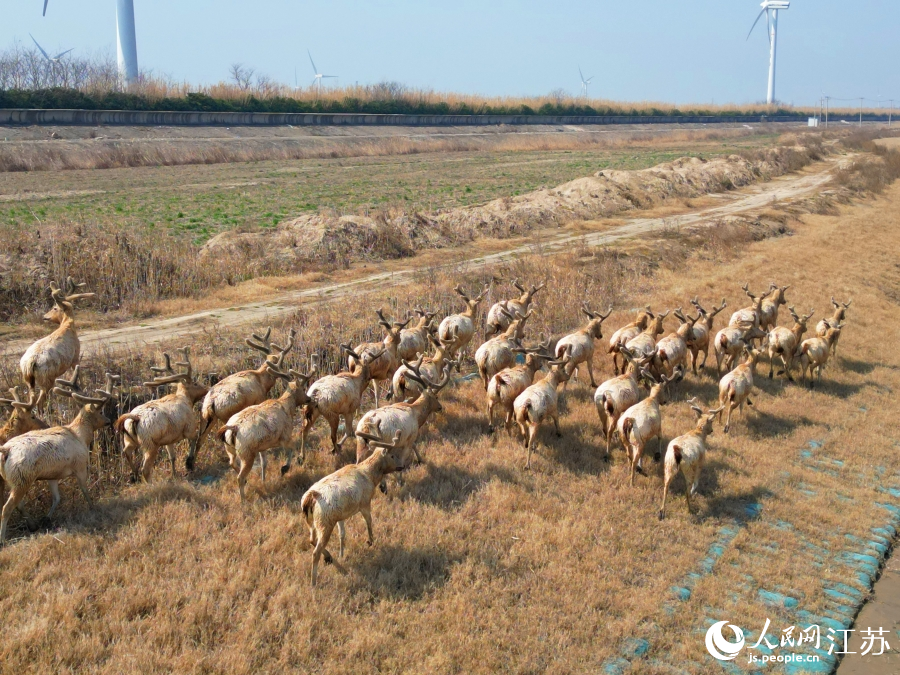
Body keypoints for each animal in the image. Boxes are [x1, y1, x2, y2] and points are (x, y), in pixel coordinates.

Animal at [0, 368, 118, 548]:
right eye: (101, 411)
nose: (108, 421)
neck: (80, 436)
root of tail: (6, 450)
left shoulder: (53, 475)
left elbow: (56, 498)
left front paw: (47, 518)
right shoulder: (80, 465)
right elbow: (84, 489)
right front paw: (93, 508)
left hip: (13, 479)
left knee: (17, 503)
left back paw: (32, 524)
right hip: (22, 476)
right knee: (6, 507)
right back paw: (3, 538)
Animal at [18, 276, 95, 412]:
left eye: (54, 308)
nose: (45, 316)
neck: (67, 327)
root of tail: (29, 363)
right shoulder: (75, 356)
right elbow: (78, 375)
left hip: (28, 379)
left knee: (32, 399)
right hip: (46, 377)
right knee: (39, 401)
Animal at [114, 346, 207, 484]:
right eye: (195, 383)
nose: (207, 388)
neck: (187, 400)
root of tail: (134, 418)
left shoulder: (169, 438)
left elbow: (172, 457)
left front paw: (174, 475)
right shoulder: (189, 427)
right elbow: (194, 439)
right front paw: (189, 463)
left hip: (129, 439)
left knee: (126, 453)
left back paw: (134, 476)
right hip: (150, 443)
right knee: (145, 469)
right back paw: (150, 484)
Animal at [188, 328, 298, 470]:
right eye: (281, 362)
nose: (288, 374)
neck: (262, 380)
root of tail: (210, 403)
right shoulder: (259, 399)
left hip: (206, 418)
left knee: (199, 439)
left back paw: (191, 465)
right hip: (225, 416)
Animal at [215, 370, 316, 502]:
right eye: (303, 388)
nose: (309, 399)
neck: (287, 408)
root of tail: (233, 427)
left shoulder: (262, 447)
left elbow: (264, 463)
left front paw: (264, 481)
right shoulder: (284, 435)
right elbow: (292, 447)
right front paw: (286, 467)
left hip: (230, 449)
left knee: (231, 462)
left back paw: (247, 483)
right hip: (247, 452)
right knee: (239, 477)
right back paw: (243, 500)